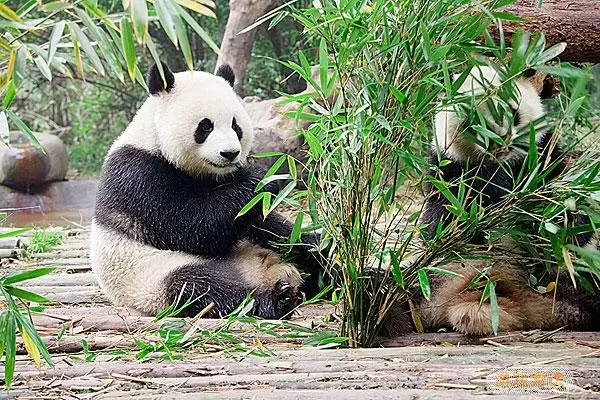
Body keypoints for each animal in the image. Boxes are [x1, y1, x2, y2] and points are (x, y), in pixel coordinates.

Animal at [90, 61, 324, 318]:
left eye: (235, 125)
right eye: (205, 126)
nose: (230, 153)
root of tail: (262, 272)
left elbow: (261, 221)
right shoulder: (138, 175)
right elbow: (189, 226)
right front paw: (261, 176)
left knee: (301, 247)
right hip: (151, 278)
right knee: (199, 287)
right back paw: (276, 299)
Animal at [384, 65, 600, 334]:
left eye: (512, 112)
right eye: (475, 120)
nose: (501, 141)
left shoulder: (544, 158)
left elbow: (568, 207)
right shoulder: (449, 171)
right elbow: (442, 222)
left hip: (564, 277)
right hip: (424, 283)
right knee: (385, 289)